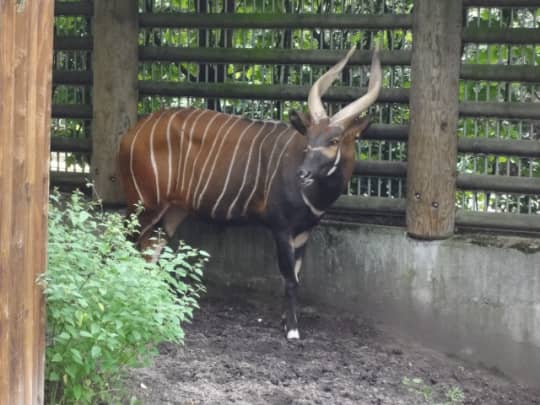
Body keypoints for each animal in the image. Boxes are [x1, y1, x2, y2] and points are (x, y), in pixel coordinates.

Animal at [118, 45, 382, 340]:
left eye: (334, 140)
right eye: (309, 138)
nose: (303, 174)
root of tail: (129, 135)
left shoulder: (304, 231)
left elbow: (296, 275)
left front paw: (285, 321)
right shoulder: (280, 227)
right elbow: (290, 278)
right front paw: (292, 330)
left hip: (173, 210)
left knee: (150, 250)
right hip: (144, 203)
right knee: (126, 241)